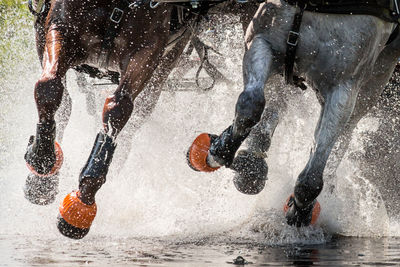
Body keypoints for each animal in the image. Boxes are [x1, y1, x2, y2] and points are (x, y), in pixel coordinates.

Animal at [24, 0, 260, 240]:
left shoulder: (147, 51)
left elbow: (118, 109)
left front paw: (85, 198)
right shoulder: (60, 29)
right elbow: (49, 88)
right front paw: (42, 163)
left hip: (166, 63)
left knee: (136, 118)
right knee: (64, 103)